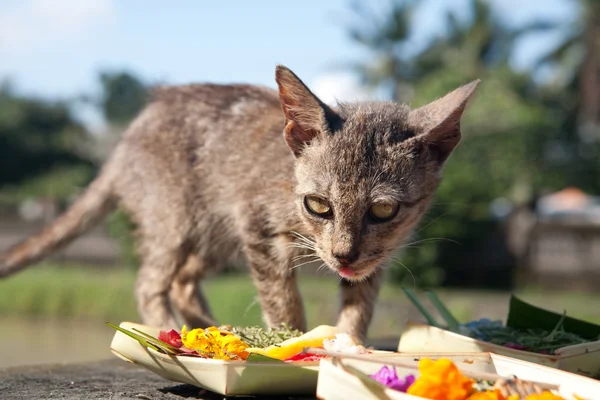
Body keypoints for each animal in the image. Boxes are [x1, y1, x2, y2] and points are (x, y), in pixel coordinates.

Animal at [0, 65, 478, 340]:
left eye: (383, 210)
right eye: (318, 205)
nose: (343, 255)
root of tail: (127, 138)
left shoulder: (377, 254)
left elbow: (360, 298)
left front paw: (350, 342)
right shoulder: (258, 228)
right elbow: (282, 302)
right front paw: (293, 346)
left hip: (215, 235)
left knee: (182, 279)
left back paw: (207, 327)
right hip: (176, 221)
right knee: (151, 282)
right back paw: (169, 328)